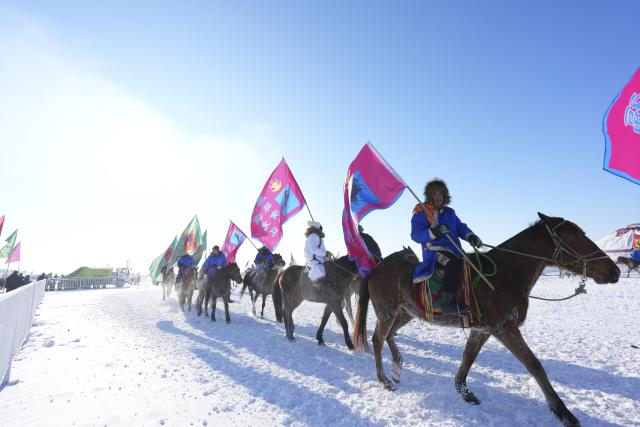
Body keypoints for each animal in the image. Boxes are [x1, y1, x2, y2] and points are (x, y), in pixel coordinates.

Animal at [353, 213, 620, 426]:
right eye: (575, 237)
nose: (614, 271)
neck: (505, 274)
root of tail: (378, 267)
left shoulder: (482, 330)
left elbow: (467, 359)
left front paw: (463, 391)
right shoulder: (505, 328)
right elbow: (535, 366)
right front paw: (563, 412)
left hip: (405, 313)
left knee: (389, 335)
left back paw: (397, 369)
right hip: (388, 311)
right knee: (378, 339)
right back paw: (384, 380)